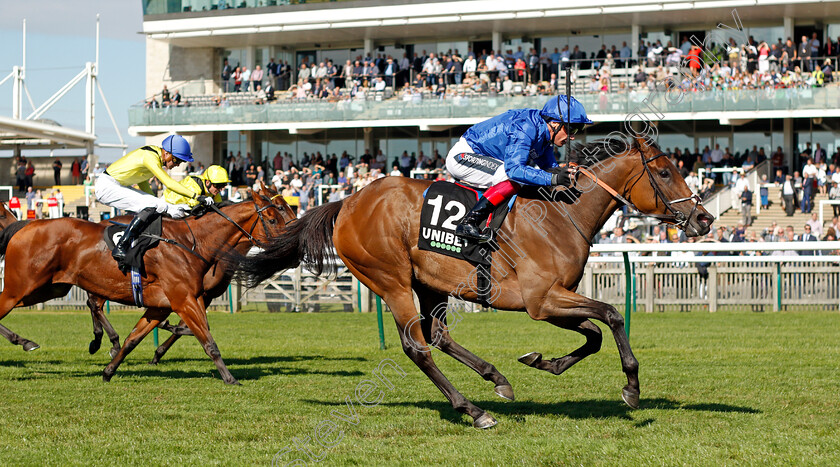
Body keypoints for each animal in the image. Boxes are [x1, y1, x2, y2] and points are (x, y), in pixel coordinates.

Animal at [240, 135, 712, 428]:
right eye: (665, 173)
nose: (705, 219)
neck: (562, 213)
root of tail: (348, 201)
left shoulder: (549, 300)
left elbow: (593, 334)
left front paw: (542, 361)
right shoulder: (541, 300)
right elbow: (611, 315)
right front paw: (631, 388)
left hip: (428, 282)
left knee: (439, 336)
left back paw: (496, 379)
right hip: (391, 281)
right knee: (417, 346)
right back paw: (472, 410)